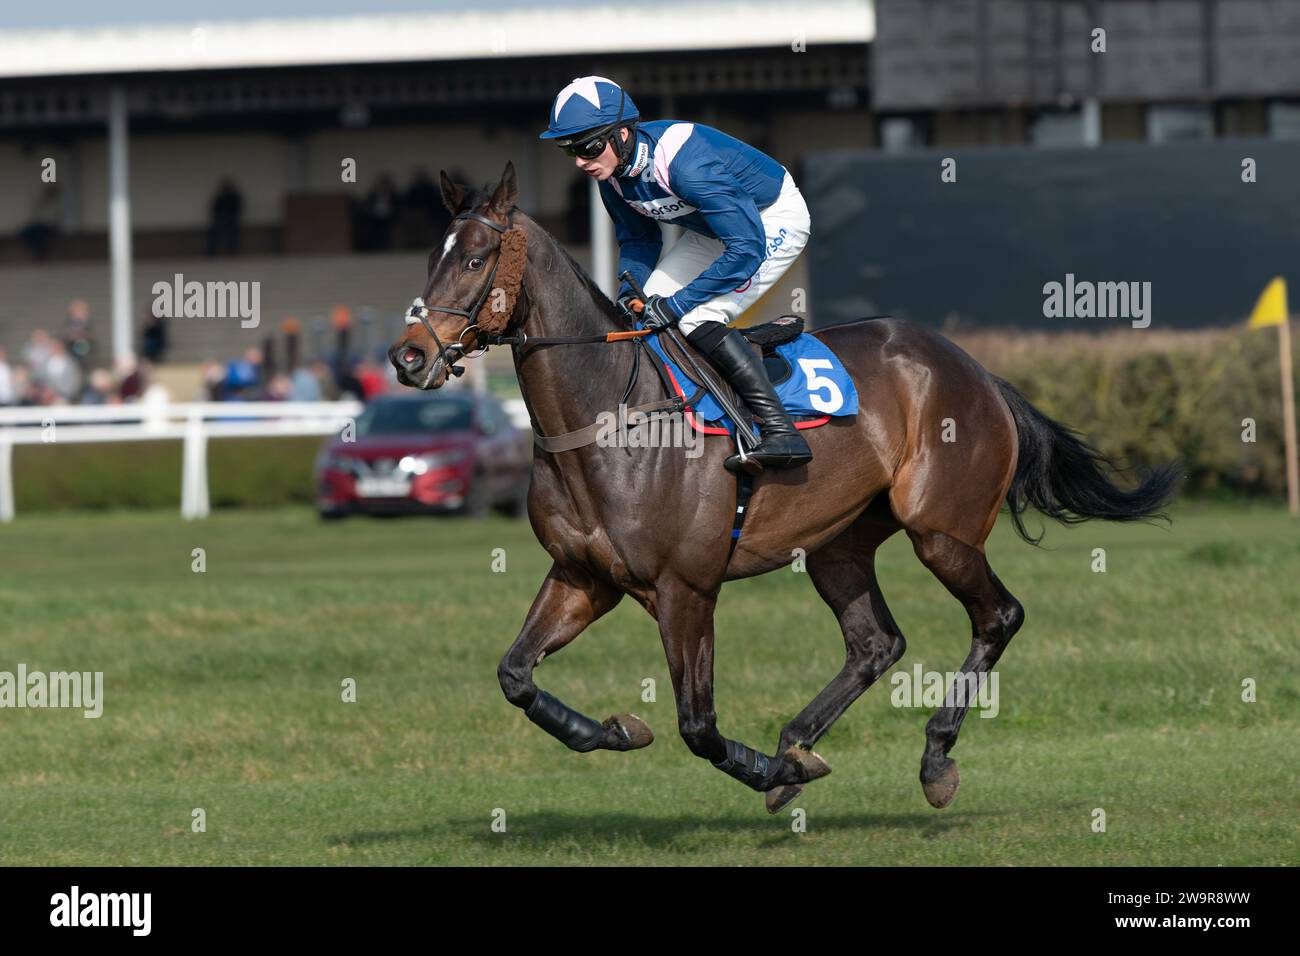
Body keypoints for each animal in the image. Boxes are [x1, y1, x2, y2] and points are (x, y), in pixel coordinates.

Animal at [382, 164, 1180, 816]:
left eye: (476, 258)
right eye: (430, 258)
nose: (408, 356)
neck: (608, 416)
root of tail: (975, 368)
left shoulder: (686, 589)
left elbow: (698, 726)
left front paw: (768, 767)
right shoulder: (583, 577)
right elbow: (516, 675)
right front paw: (614, 729)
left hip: (941, 531)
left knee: (999, 617)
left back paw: (929, 758)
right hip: (837, 543)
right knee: (876, 644)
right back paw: (798, 742)